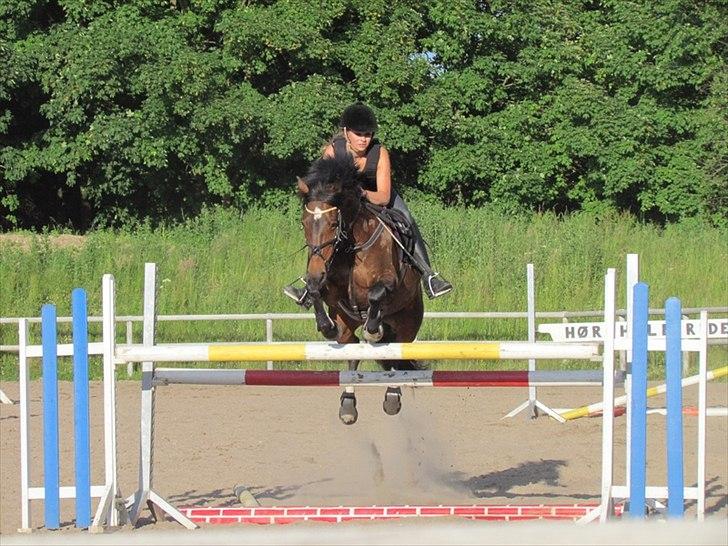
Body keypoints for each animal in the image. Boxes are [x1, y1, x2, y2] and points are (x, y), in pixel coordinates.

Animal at [298, 151, 426, 422]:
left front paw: (373, 330)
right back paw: (347, 405)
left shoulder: (389, 282)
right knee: (352, 348)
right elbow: (316, 290)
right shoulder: (331, 290)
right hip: (347, 322)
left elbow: (376, 294)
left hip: (408, 323)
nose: (315, 270)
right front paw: (326, 326)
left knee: (397, 355)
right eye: (304, 223)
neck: (351, 245)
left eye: (333, 224)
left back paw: (392, 396)